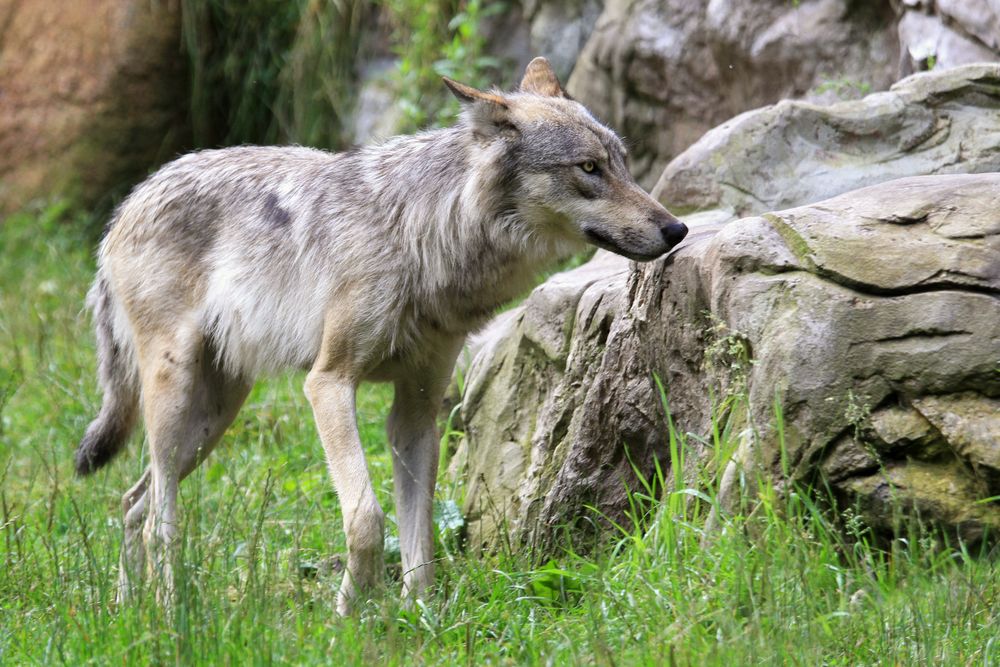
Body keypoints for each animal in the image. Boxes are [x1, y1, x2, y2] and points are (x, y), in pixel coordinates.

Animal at [76, 57, 688, 616]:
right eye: (589, 168)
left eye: (622, 163)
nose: (677, 229)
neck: (422, 234)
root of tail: (130, 200)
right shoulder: (328, 383)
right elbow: (367, 518)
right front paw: (347, 614)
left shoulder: (417, 408)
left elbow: (419, 531)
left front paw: (422, 616)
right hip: (176, 397)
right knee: (157, 520)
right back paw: (167, 616)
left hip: (215, 415)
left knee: (131, 501)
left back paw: (126, 611)